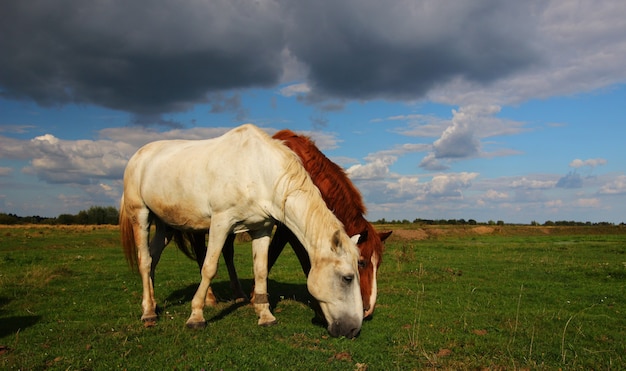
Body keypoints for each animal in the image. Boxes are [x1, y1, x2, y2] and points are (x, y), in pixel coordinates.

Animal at [118, 125, 360, 340]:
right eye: (347, 278)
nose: (354, 329)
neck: (257, 171)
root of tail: (138, 155)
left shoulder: (262, 228)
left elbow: (261, 270)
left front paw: (265, 315)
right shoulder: (220, 223)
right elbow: (209, 268)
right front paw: (196, 316)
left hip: (165, 225)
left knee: (153, 258)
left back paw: (153, 304)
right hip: (141, 215)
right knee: (145, 260)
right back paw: (148, 313)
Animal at [184, 129, 390, 318]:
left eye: (378, 264)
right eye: (361, 262)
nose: (368, 309)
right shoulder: (288, 229)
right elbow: (288, 257)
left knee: (227, 251)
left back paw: (238, 294)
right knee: (202, 253)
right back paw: (210, 298)